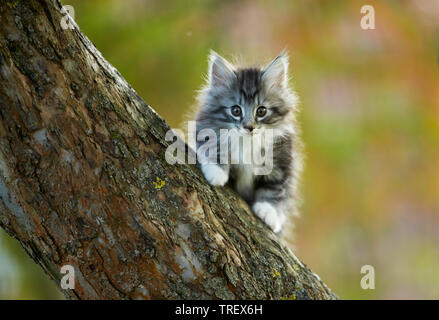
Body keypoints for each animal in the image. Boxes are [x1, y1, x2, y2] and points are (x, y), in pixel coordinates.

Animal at [194, 51, 304, 234]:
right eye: (236, 110)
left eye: (261, 111)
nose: (249, 127)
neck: (247, 142)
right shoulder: (206, 129)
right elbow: (213, 146)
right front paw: (216, 172)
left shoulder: (283, 158)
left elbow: (276, 187)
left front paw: (269, 211)